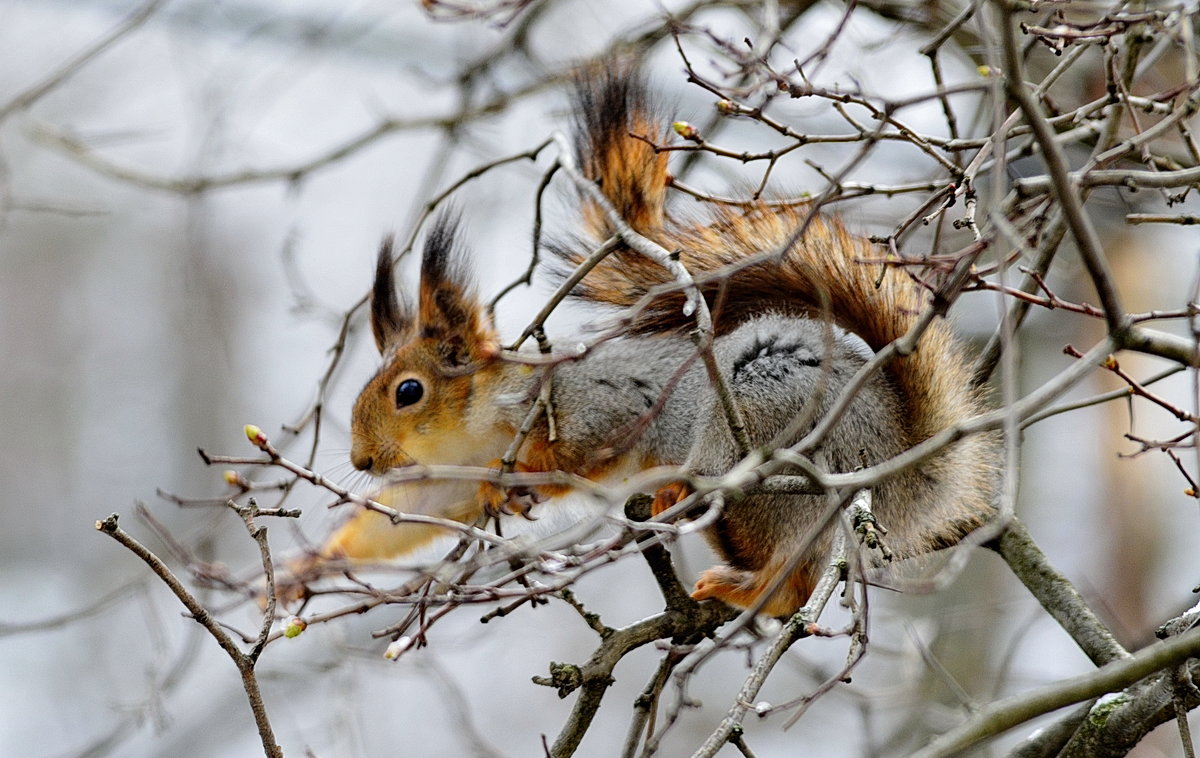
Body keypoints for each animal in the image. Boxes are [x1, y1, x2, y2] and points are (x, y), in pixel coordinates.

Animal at [314, 63, 998, 609]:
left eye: (407, 392)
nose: (362, 460)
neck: (480, 427)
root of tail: (905, 466)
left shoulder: (593, 403)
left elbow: (581, 451)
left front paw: (530, 474)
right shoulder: (449, 478)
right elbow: (424, 512)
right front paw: (318, 561)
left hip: (772, 429)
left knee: (794, 573)